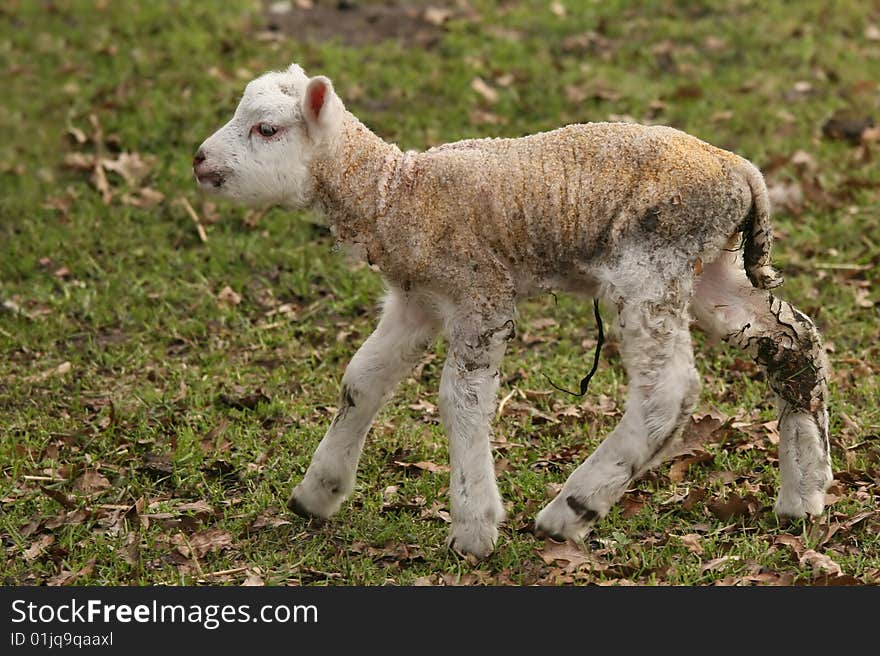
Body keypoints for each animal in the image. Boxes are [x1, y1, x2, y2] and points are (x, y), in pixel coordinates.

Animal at [192, 62, 832, 560]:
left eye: (267, 129)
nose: (198, 160)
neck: (393, 193)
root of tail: (743, 173)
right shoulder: (417, 301)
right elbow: (361, 381)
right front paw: (317, 494)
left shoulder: (480, 293)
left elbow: (461, 399)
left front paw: (473, 529)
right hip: (708, 268)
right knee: (793, 343)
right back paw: (804, 496)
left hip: (652, 263)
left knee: (668, 389)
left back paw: (572, 509)